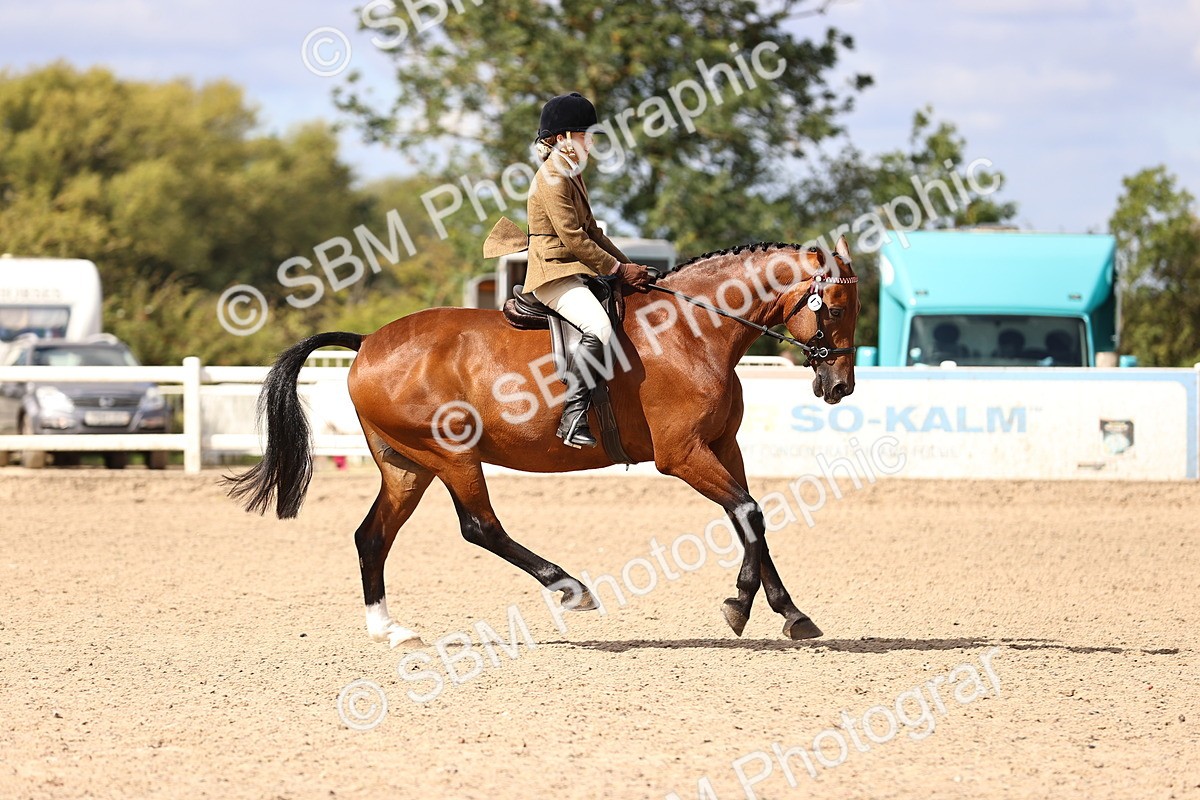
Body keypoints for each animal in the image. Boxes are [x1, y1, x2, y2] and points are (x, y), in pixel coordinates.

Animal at [226, 235, 860, 647]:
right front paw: (740, 605)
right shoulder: (682, 456)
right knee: (479, 527)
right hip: (450, 456)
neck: (692, 330)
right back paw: (571, 588)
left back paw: (390, 630)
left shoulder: (725, 448)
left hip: (407, 465)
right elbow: (747, 511)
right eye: (834, 308)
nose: (839, 386)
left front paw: (789, 613)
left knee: (372, 536)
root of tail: (367, 342)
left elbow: (751, 515)